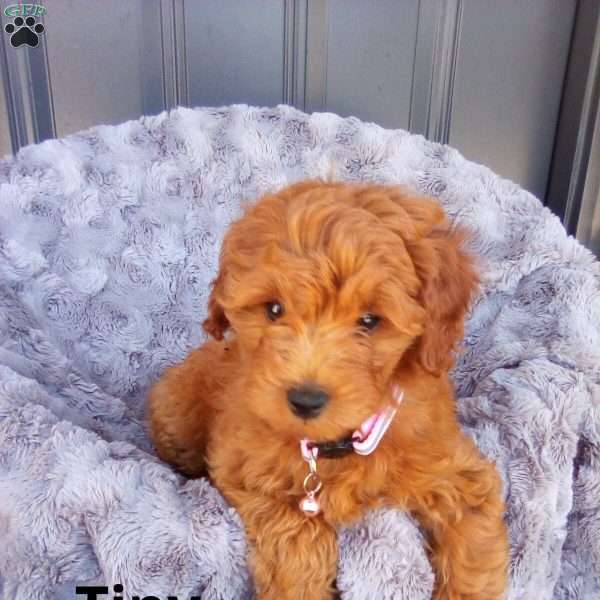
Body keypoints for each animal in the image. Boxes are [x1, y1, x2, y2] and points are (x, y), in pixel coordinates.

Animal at [148, 182, 508, 600]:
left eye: (369, 321)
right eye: (274, 309)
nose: (305, 400)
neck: (337, 446)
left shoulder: (458, 475)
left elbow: (474, 549)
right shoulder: (239, 466)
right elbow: (295, 536)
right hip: (175, 415)